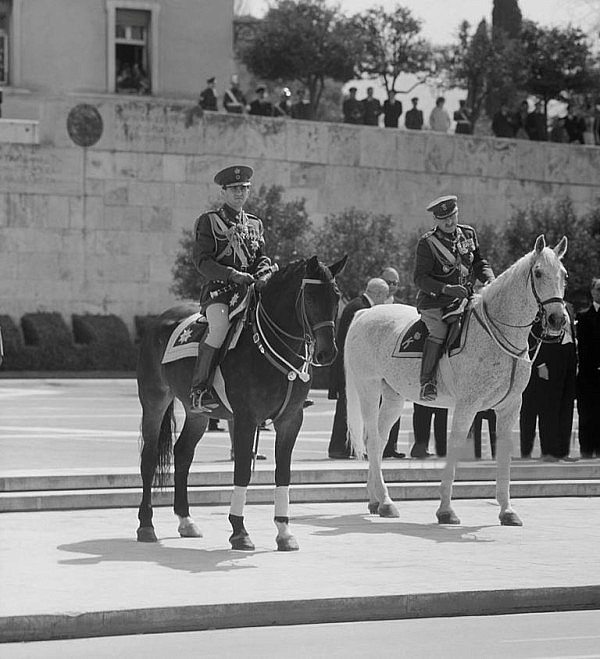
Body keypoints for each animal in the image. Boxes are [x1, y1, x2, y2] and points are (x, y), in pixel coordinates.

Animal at [134, 258, 344, 552]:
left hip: (197, 413)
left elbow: (284, 473)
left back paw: (186, 520)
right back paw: (146, 525)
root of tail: (158, 320)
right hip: (154, 400)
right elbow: (243, 471)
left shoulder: (291, 420)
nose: (328, 353)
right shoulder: (246, 419)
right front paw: (239, 531)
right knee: (149, 457)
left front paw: (284, 531)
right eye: (311, 297)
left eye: (336, 296)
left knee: (183, 453)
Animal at [346, 236, 568, 524]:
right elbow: (453, 451)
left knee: (378, 442)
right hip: (369, 389)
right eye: (538, 273)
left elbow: (504, 457)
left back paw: (375, 500)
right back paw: (385, 501)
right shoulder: (467, 406)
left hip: (393, 397)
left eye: (564, 275)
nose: (557, 319)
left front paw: (507, 509)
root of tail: (365, 313)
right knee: (373, 439)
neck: (497, 333)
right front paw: (445, 509)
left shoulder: (510, 407)